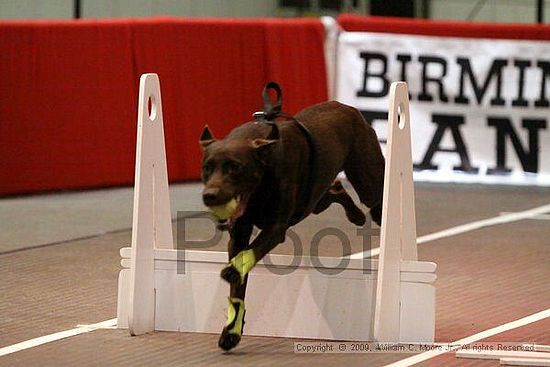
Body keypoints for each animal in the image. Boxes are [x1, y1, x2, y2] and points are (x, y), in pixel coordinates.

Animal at [201, 99, 386, 352]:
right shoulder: (238, 233)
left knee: (376, 199)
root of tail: (346, 107)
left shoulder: (276, 228)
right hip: (313, 200)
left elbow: (249, 253)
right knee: (336, 187)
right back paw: (356, 215)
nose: (209, 196)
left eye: (235, 167)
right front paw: (231, 333)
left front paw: (232, 269)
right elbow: (238, 285)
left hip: (367, 181)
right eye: (207, 167)